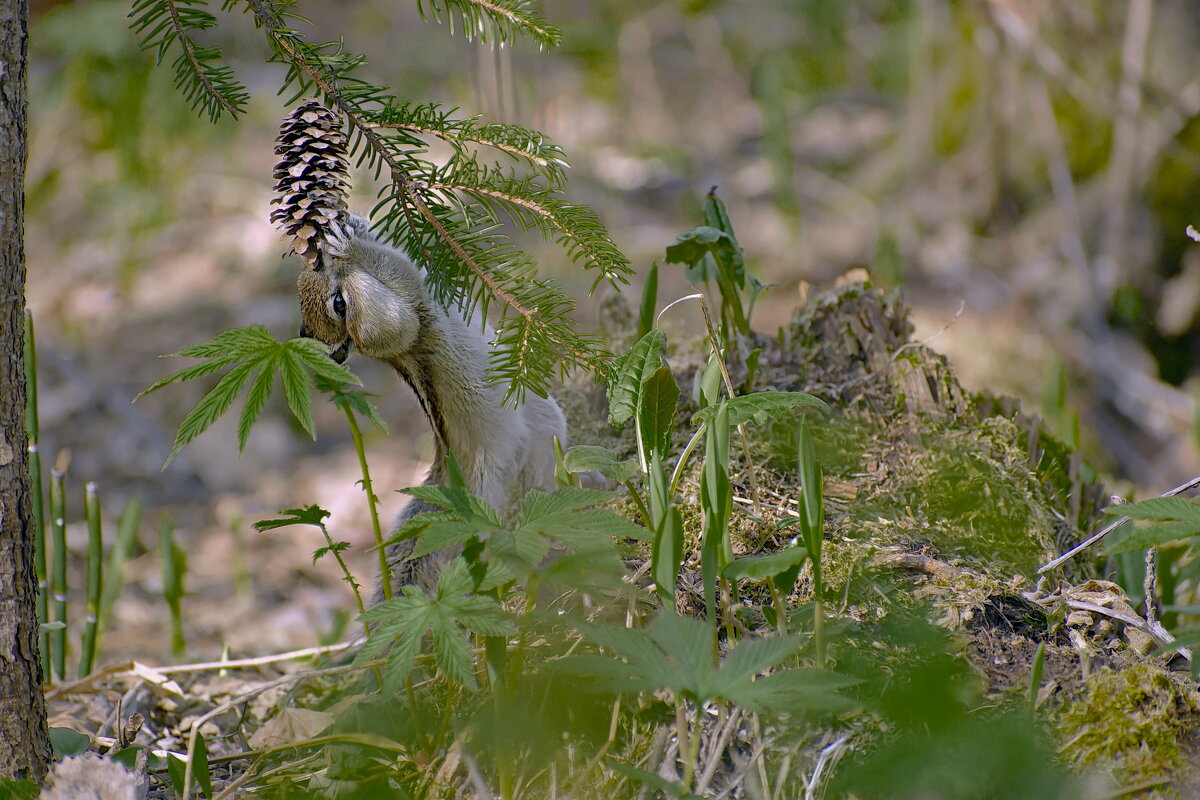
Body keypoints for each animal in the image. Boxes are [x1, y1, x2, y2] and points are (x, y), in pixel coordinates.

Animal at [295, 215, 566, 604]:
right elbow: (395, 290)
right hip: (486, 497)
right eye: (340, 305)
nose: (317, 259)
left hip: (547, 425)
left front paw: (353, 227)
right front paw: (350, 247)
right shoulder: (394, 318)